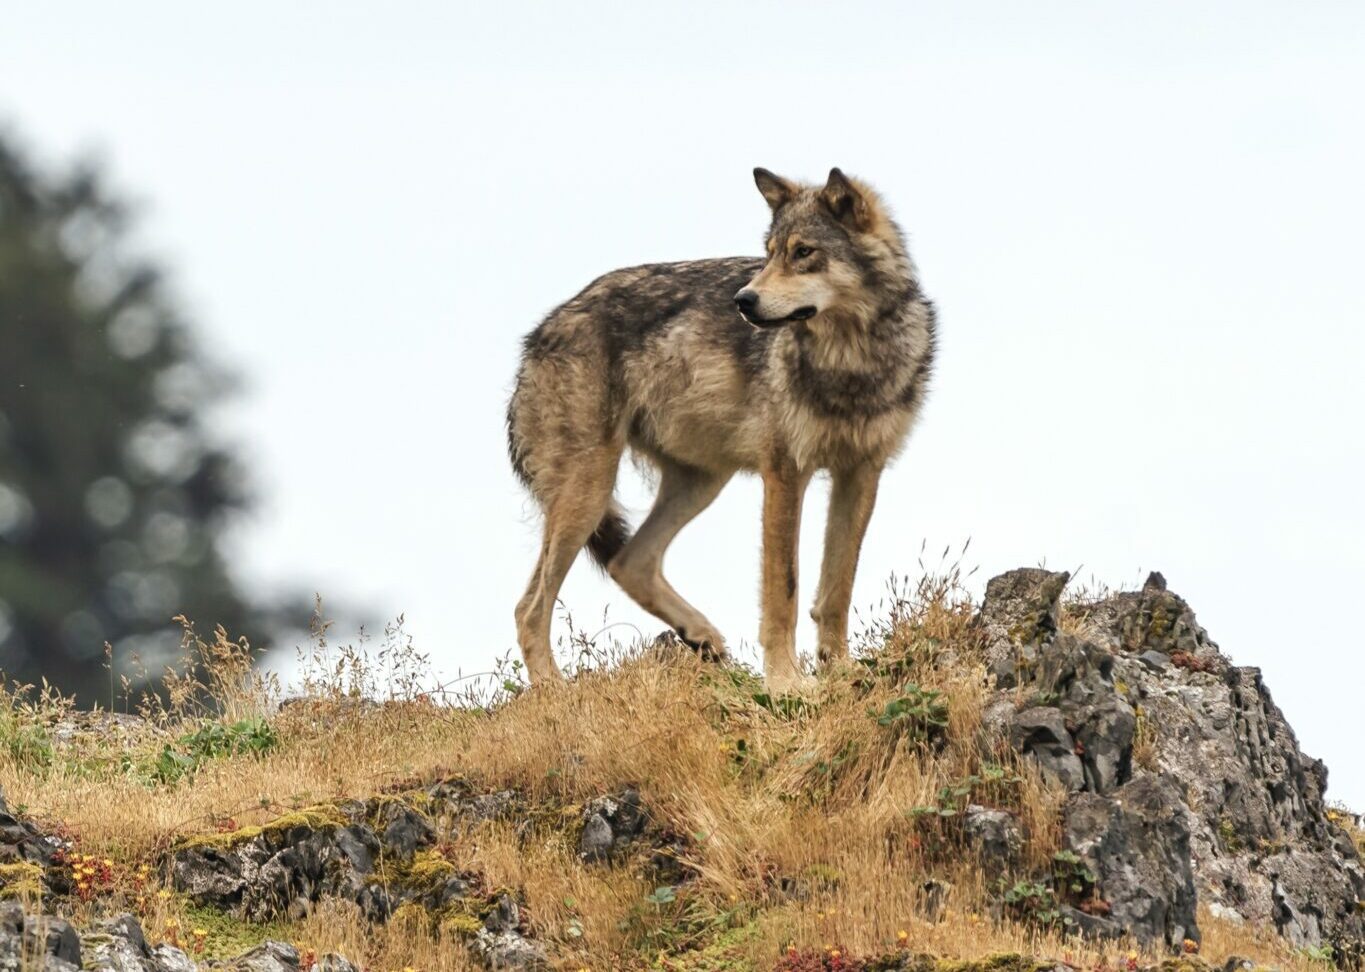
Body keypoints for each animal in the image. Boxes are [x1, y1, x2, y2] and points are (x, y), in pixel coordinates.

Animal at [507, 170, 933, 690]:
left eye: (804, 252)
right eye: (768, 253)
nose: (743, 300)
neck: (849, 363)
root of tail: (535, 338)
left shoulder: (862, 473)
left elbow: (836, 589)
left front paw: (841, 671)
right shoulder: (785, 473)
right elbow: (784, 591)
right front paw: (787, 683)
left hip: (700, 482)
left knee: (629, 563)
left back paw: (703, 636)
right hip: (589, 492)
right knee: (530, 607)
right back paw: (555, 690)